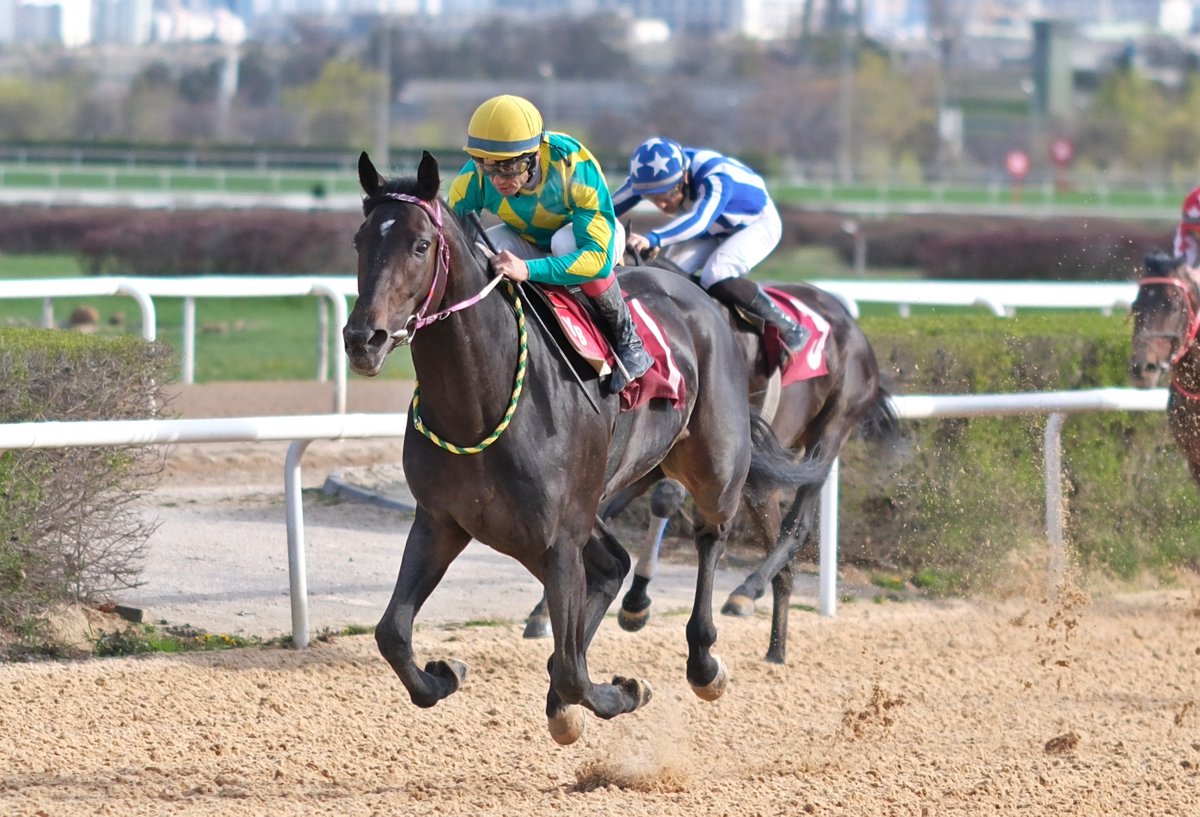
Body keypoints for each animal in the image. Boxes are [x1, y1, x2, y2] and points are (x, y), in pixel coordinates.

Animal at [338, 149, 825, 743]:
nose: (364, 339)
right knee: (613, 565)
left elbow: (573, 671)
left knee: (710, 535)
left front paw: (622, 692)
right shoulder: (441, 521)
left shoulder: (556, 539)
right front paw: (445, 672)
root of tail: (697, 296)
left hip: (713, 462)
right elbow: (392, 632)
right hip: (592, 500)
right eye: (360, 240)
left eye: (420, 245)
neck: (478, 406)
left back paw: (705, 659)